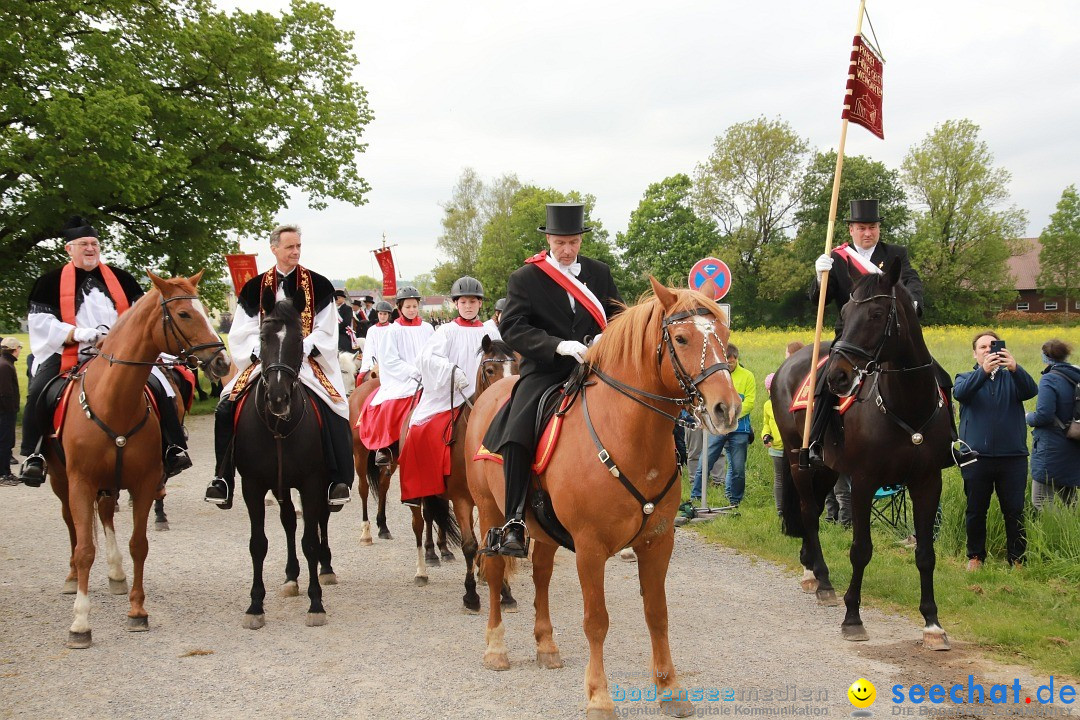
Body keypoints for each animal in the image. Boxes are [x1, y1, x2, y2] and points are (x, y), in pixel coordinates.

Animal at [46, 273, 230, 651]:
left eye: (207, 311)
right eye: (184, 314)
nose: (221, 362)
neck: (113, 401)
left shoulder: (143, 481)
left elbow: (138, 544)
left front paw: (137, 610)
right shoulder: (81, 481)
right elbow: (85, 548)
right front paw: (80, 623)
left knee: (105, 516)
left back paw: (116, 574)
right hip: (61, 481)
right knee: (72, 525)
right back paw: (72, 576)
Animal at [236, 293, 336, 630]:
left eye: (298, 340)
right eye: (263, 338)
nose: (278, 398)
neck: (278, 427)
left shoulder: (312, 481)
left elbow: (311, 540)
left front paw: (316, 603)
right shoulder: (253, 485)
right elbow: (258, 543)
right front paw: (255, 605)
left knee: (318, 521)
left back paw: (325, 567)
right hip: (280, 485)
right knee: (289, 521)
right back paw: (292, 576)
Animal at [464, 280, 743, 720]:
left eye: (724, 336)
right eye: (681, 338)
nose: (726, 409)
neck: (630, 436)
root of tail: (492, 394)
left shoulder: (657, 541)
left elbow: (657, 614)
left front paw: (670, 688)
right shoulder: (590, 547)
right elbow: (596, 621)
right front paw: (598, 696)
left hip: (543, 528)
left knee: (542, 574)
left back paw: (546, 645)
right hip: (491, 510)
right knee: (493, 572)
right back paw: (496, 647)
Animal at [773, 260, 950, 651]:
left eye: (876, 314)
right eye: (843, 313)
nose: (839, 378)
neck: (905, 404)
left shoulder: (928, 482)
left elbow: (925, 554)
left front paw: (932, 623)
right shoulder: (864, 482)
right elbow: (861, 549)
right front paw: (852, 618)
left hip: (826, 468)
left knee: (813, 512)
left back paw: (811, 568)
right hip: (798, 459)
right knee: (808, 514)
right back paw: (821, 580)